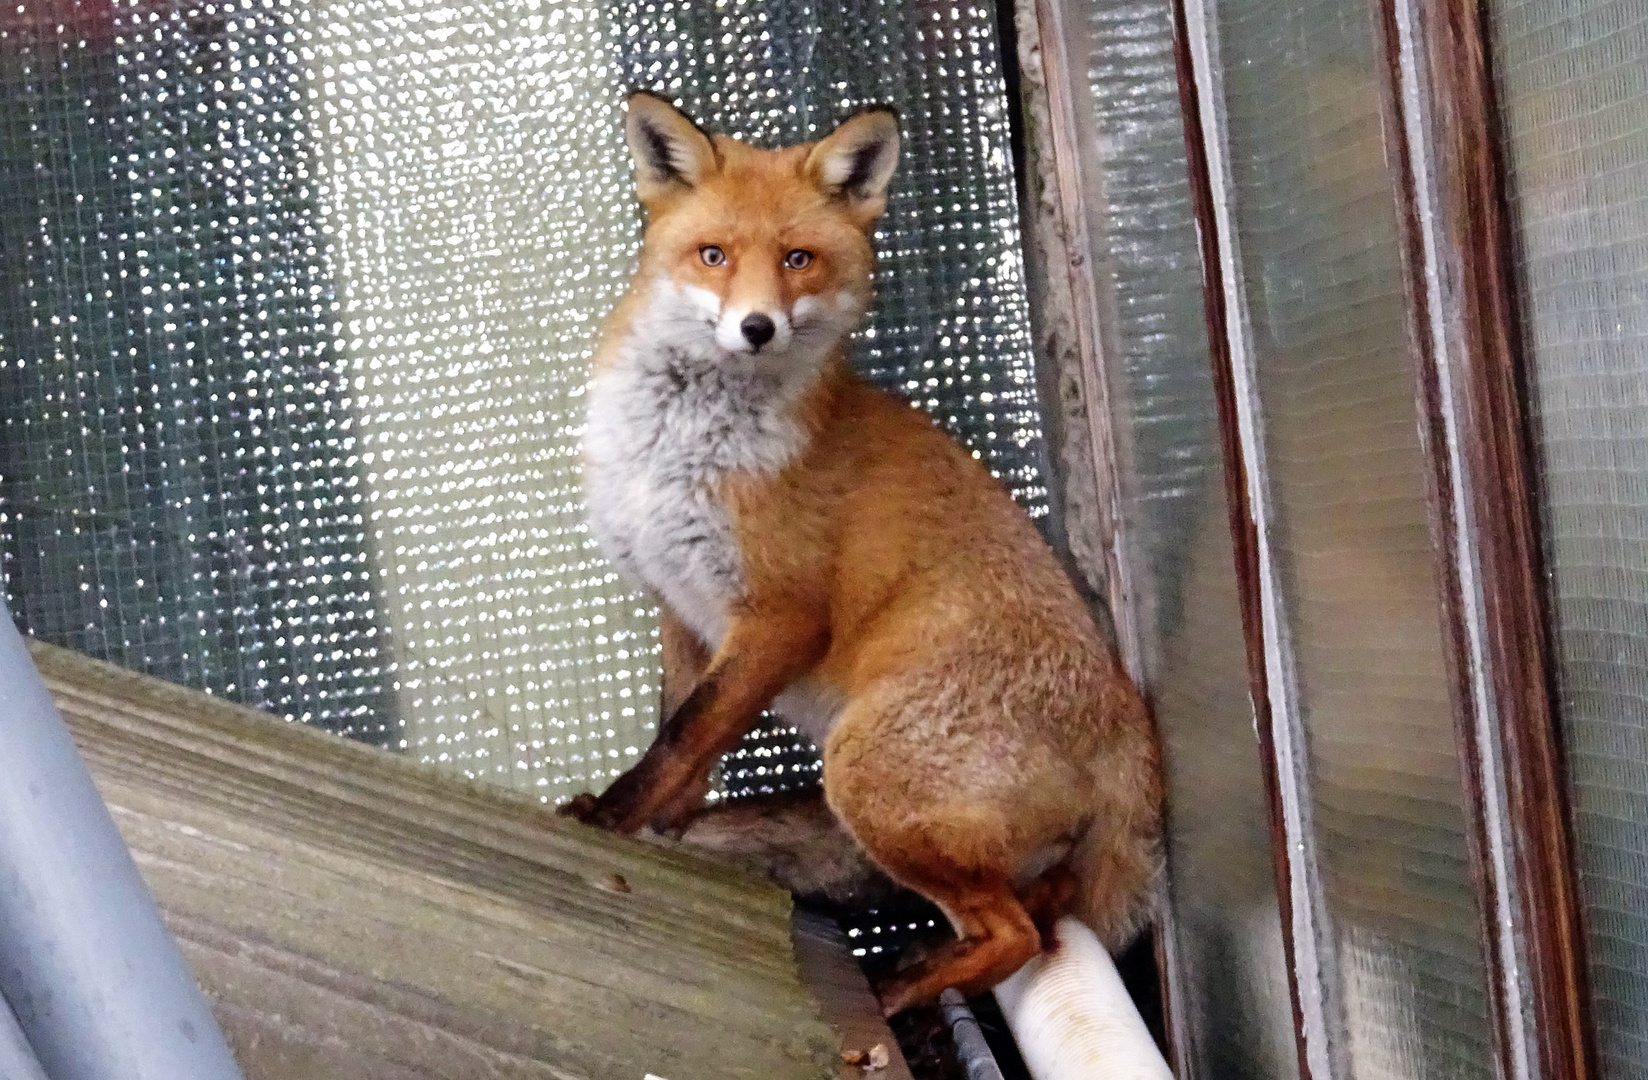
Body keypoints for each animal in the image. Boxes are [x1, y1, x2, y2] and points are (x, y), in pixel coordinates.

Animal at [566, 90, 1160, 1015]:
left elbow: (683, 735)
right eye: (714, 256)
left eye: (798, 259)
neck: (681, 450)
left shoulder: (781, 616)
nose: (757, 327)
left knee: (1017, 934)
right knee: (1044, 916)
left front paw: (609, 824)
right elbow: (681, 744)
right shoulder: (682, 605)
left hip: (863, 775)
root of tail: (1126, 722)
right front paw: (651, 832)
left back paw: (897, 991)